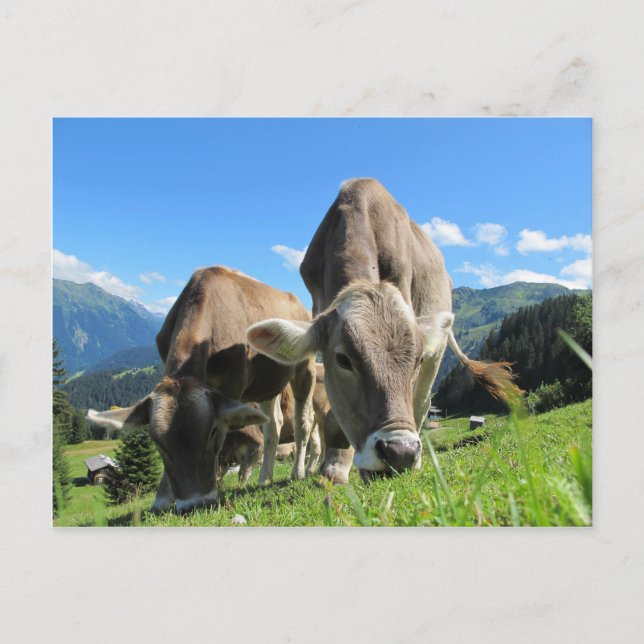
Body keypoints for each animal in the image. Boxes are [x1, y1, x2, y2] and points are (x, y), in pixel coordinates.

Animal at [87, 266, 316, 513]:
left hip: (305, 367)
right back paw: (265, 478)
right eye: (158, 442)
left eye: (213, 432)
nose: (194, 504)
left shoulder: (232, 385)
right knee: (273, 425)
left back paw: (298, 472)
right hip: (268, 382)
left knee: (303, 421)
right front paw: (162, 498)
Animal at [247, 178, 519, 483]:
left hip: (437, 354)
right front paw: (335, 466)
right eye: (343, 360)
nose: (401, 452)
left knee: (422, 400)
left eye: (416, 359)